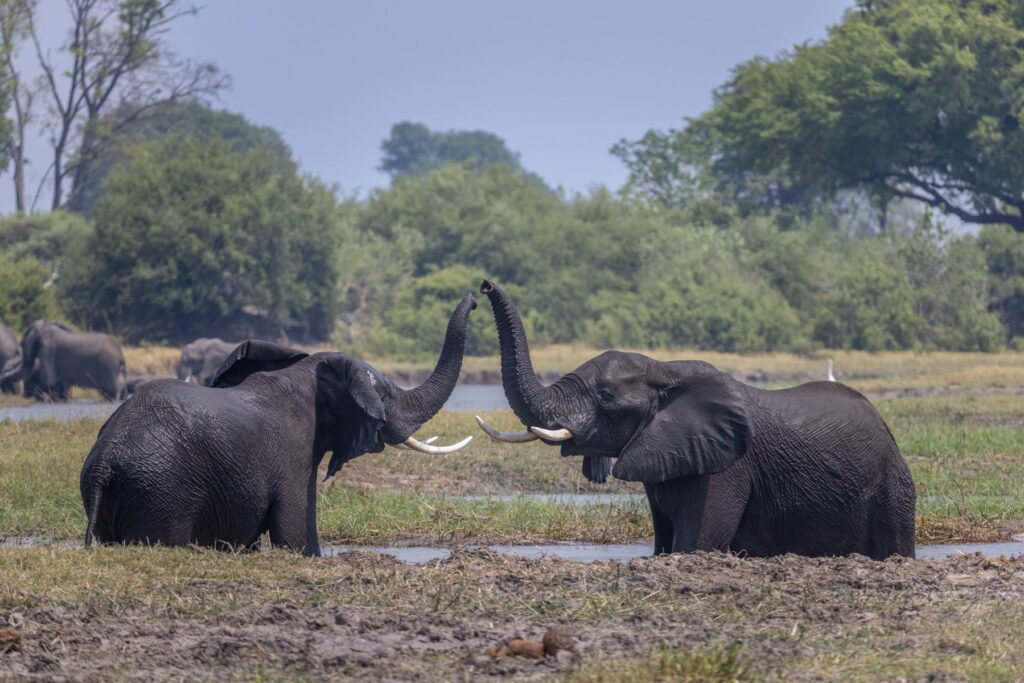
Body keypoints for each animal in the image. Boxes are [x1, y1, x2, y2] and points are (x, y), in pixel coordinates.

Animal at [81, 294, 477, 557]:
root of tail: (105, 460)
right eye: (385, 395)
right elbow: (295, 534)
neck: (307, 374)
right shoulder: (295, 452)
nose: (477, 294)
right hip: (161, 491)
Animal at [475, 282, 917, 561]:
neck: (664, 370)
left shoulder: (728, 468)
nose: (483, 288)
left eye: (606, 396)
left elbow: (695, 545)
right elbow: (663, 543)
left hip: (891, 487)